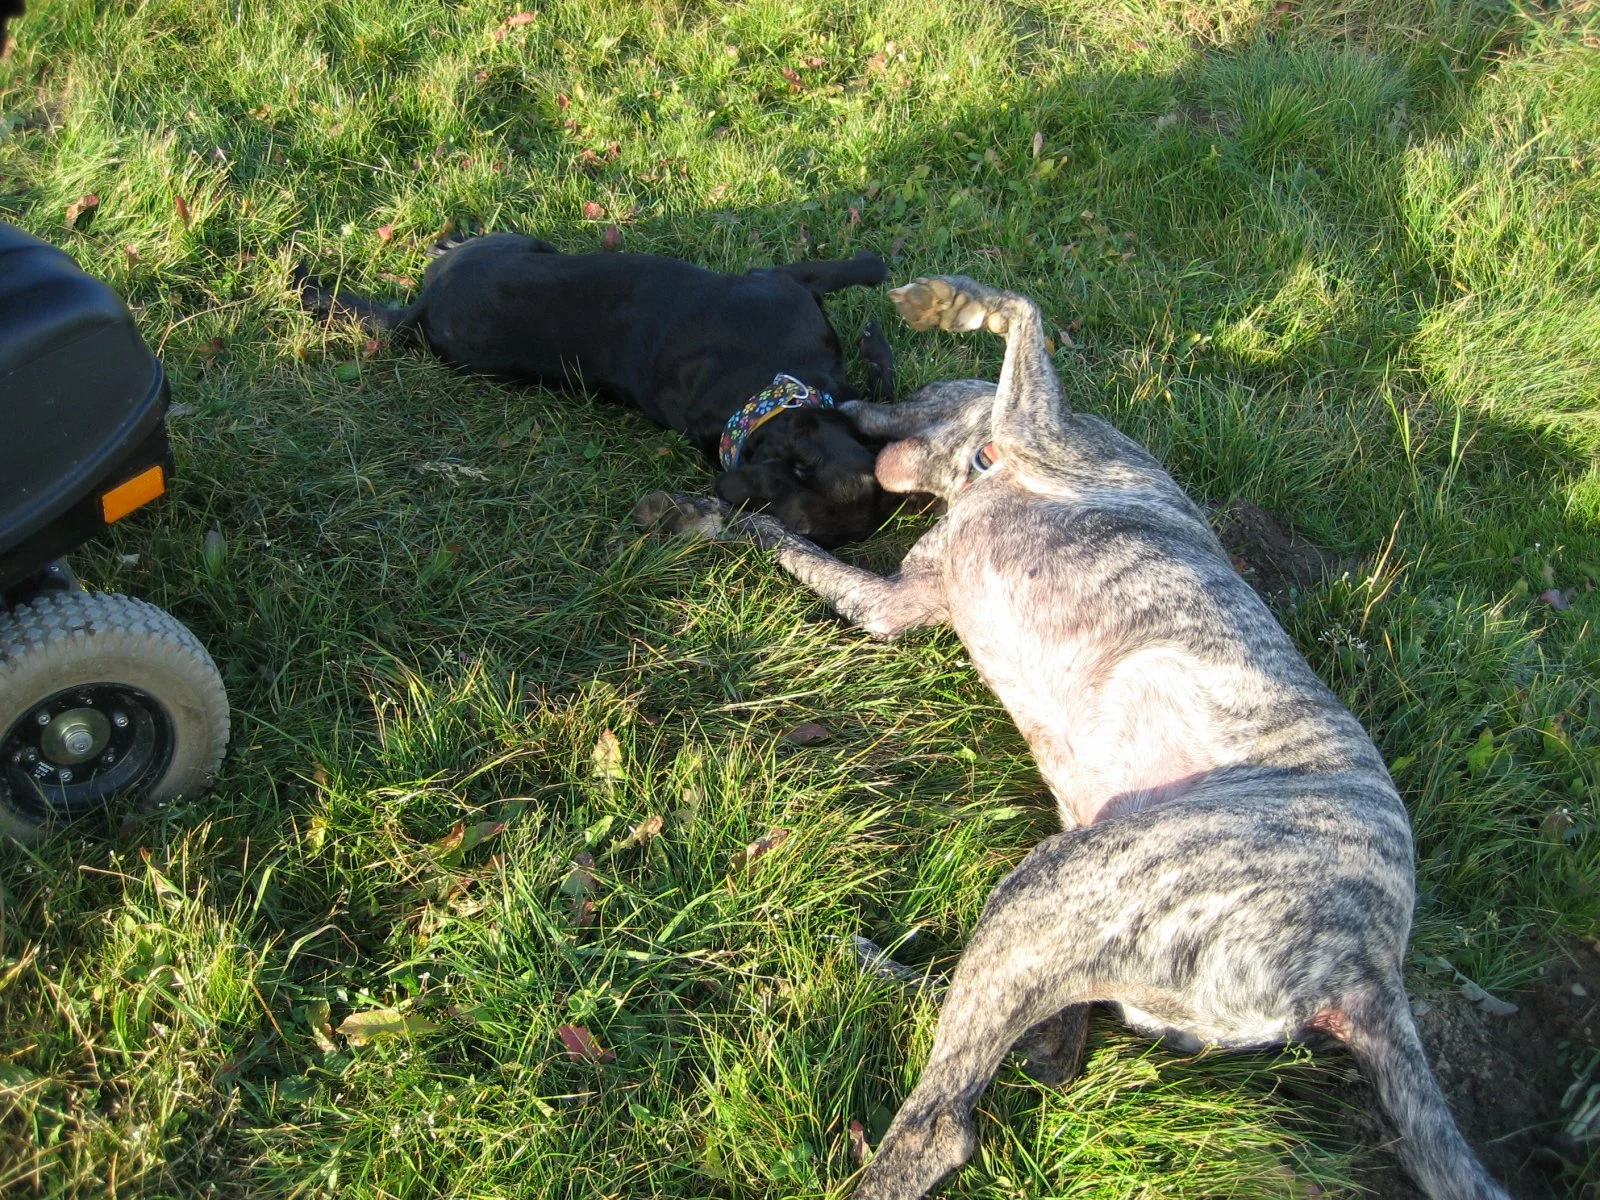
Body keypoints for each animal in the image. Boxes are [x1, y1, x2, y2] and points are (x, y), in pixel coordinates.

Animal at [300, 232, 902, 550]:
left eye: (793, 519)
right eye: (798, 464)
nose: (724, 490)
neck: (766, 391)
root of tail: (422, 308)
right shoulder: (781, 278)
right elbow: (857, 268)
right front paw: (879, 283)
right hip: (519, 241)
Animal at [630, 280, 1504, 1200]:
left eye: (917, 391)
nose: (843, 402)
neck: (984, 461)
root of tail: (1369, 974)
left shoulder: (1038, 429)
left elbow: (1018, 313)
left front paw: (943, 302)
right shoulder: (896, 600)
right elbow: (787, 541)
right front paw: (717, 514)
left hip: (1064, 887)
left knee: (945, 1125)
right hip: (1074, 920)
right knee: (1039, 1049)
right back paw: (883, 967)